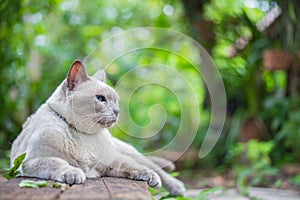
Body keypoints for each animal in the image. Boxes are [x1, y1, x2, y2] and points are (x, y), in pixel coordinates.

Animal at [10, 60, 185, 196]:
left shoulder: (112, 161)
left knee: (153, 166)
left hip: (126, 151)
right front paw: (74, 174)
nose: (117, 111)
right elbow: (57, 163)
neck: (83, 135)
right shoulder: (32, 160)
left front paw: (151, 177)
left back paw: (176, 188)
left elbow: (134, 167)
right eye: (100, 98)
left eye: (116, 101)